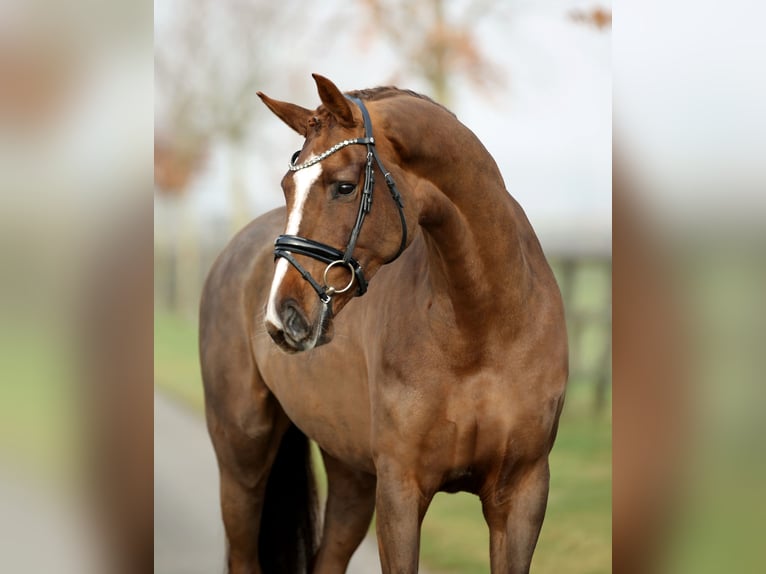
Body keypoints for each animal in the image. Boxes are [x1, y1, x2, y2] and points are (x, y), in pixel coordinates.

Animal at [201, 76, 568, 574]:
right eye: (287, 185)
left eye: (344, 186)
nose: (282, 316)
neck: (484, 330)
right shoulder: (400, 489)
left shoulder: (522, 494)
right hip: (242, 461)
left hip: (351, 474)